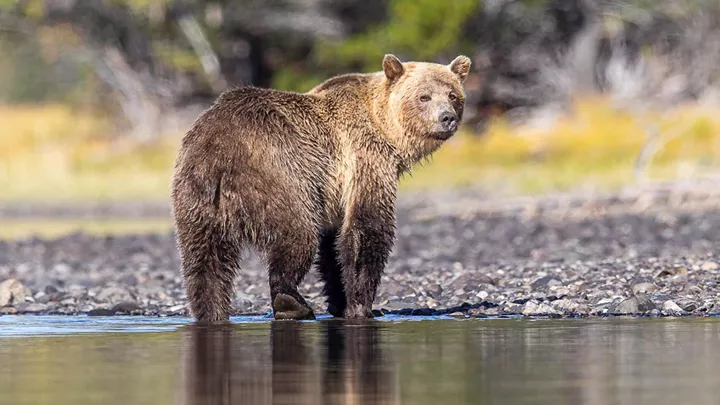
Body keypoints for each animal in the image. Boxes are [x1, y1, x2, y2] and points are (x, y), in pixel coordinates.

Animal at [170, 53, 472, 323]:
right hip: (280, 176)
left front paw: (341, 300)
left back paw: (211, 311)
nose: (447, 118)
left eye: (452, 95)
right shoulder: (364, 159)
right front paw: (362, 306)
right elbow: (367, 227)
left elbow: (333, 247)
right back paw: (291, 302)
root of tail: (216, 151)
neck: (386, 129)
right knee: (297, 236)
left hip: (196, 200)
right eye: (424, 96)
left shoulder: (334, 192)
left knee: (205, 262)